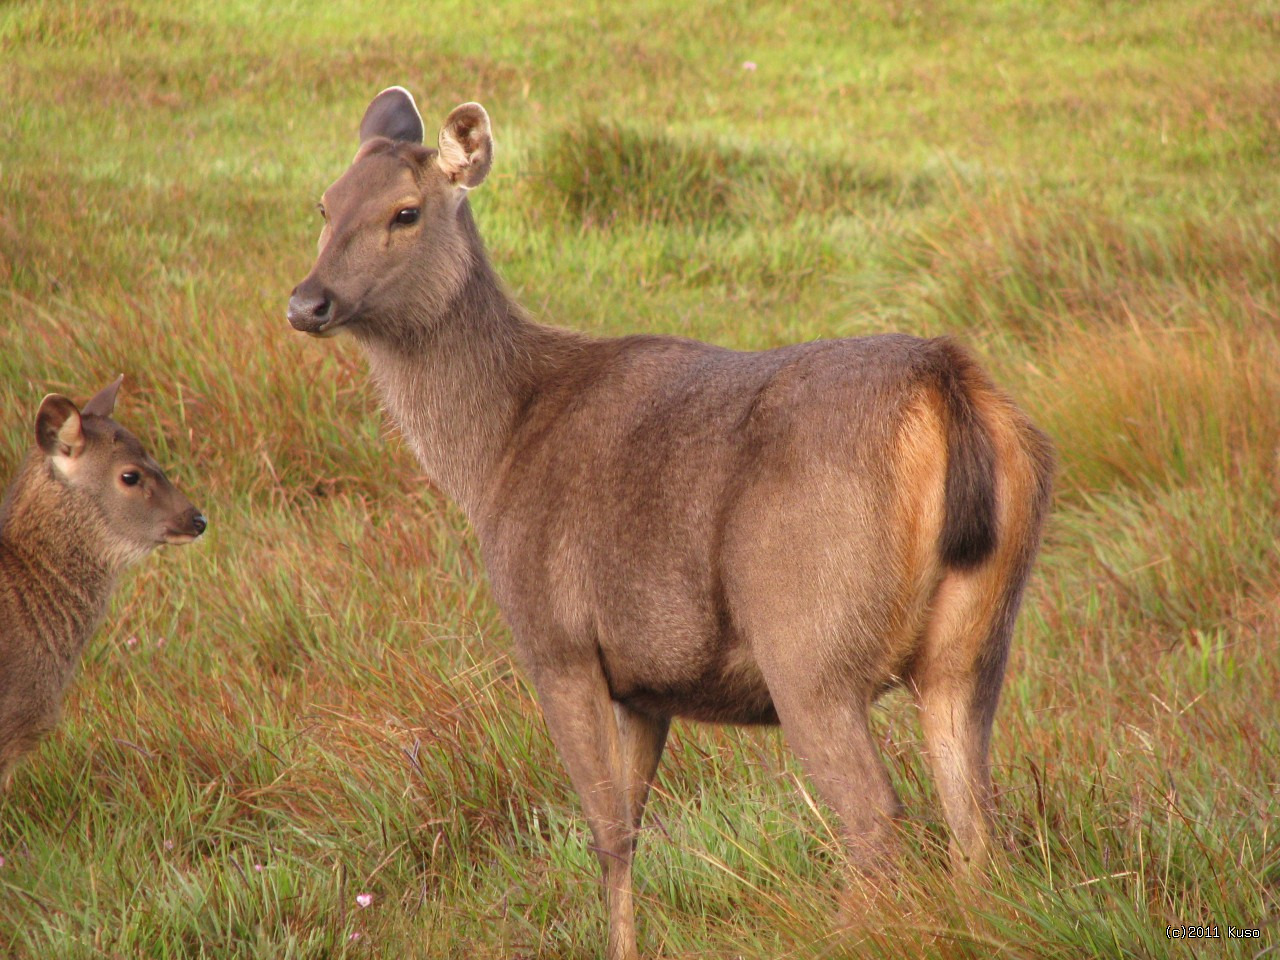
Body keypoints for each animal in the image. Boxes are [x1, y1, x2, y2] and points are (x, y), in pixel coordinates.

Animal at [288, 86, 1049, 957]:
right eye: (326, 202)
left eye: (405, 212)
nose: (307, 302)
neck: (496, 453)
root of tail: (946, 383)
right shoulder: (646, 683)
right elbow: (634, 826)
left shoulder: (556, 641)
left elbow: (607, 833)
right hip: (975, 643)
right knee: (975, 819)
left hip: (808, 643)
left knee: (877, 821)